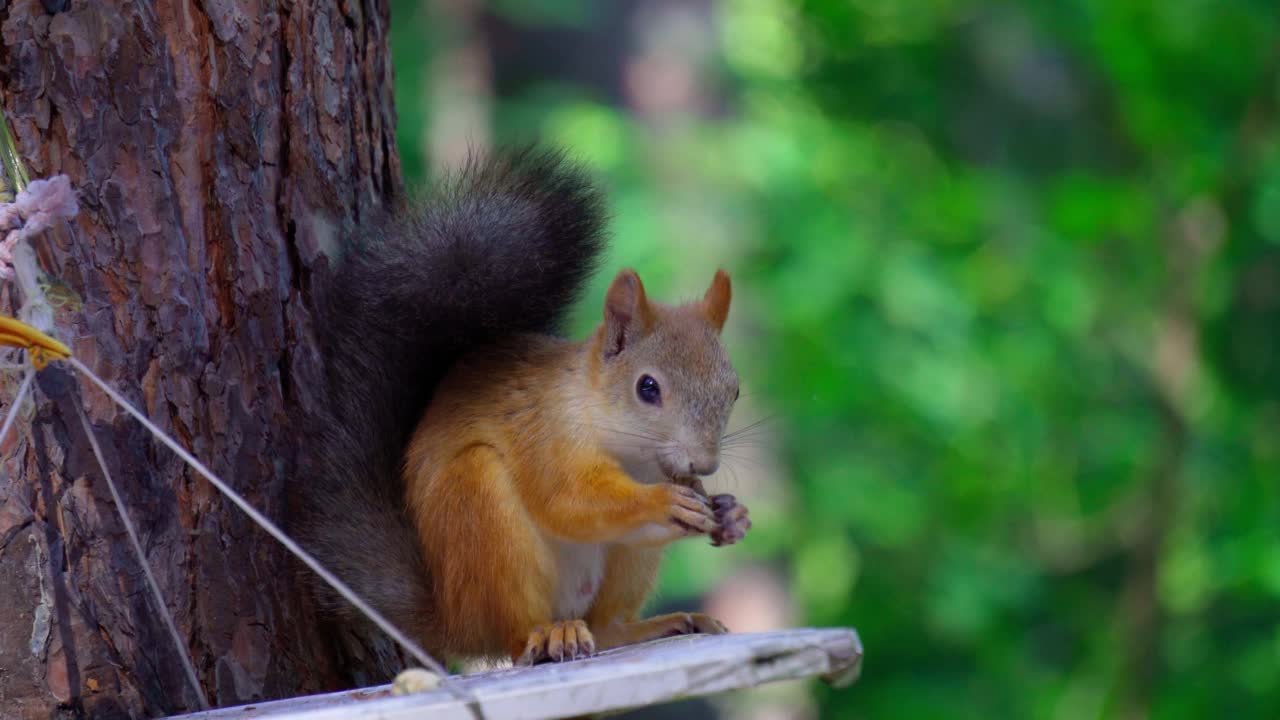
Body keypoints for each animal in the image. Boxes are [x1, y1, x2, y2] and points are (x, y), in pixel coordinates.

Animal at [298, 146, 747, 666]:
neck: (629, 452)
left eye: (734, 390)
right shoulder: (544, 434)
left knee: (606, 626)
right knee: (516, 635)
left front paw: (731, 514)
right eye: (648, 388)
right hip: (480, 510)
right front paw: (660, 501)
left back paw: (652, 625)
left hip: (618, 570)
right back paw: (549, 636)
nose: (705, 463)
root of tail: (452, 618)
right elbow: (568, 501)